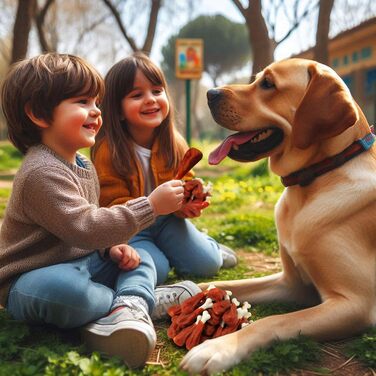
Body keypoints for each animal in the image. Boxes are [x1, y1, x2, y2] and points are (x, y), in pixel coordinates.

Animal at [180, 57, 376, 374]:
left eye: (268, 84)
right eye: (257, 78)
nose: (210, 94)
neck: (315, 180)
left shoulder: (355, 303)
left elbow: (274, 321)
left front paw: (219, 348)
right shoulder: (291, 283)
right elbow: (224, 285)